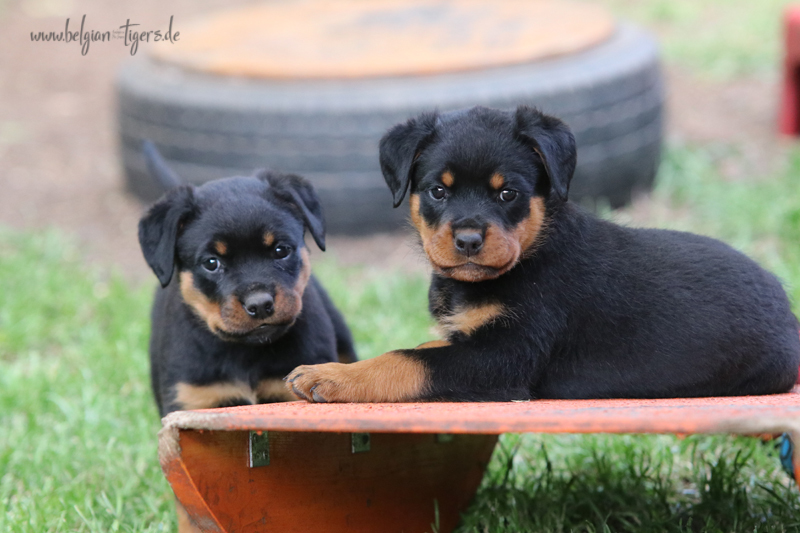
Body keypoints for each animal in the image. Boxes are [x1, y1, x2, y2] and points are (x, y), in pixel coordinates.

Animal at [286, 105, 799, 403]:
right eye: (438, 190)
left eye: (507, 192)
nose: (468, 240)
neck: (531, 252)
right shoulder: (477, 342)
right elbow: (426, 346)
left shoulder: (504, 357)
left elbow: (407, 360)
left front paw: (330, 377)